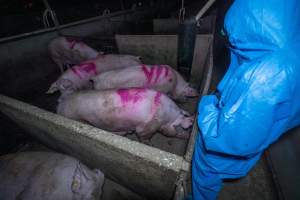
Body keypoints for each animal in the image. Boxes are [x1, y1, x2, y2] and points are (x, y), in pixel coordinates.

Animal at [57, 88, 193, 140]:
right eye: (182, 128)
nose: (188, 136)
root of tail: (61, 104)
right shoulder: (146, 128)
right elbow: (144, 136)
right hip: (74, 117)